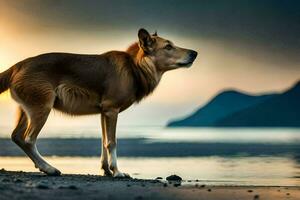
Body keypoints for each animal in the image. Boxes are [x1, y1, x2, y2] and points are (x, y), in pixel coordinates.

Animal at [0, 28, 198, 177]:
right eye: (168, 46)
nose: (195, 53)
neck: (135, 67)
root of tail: (17, 65)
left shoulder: (104, 112)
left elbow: (103, 142)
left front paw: (107, 171)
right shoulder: (112, 110)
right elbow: (112, 142)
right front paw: (117, 172)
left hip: (27, 110)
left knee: (17, 136)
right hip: (42, 107)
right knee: (28, 140)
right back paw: (48, 168)